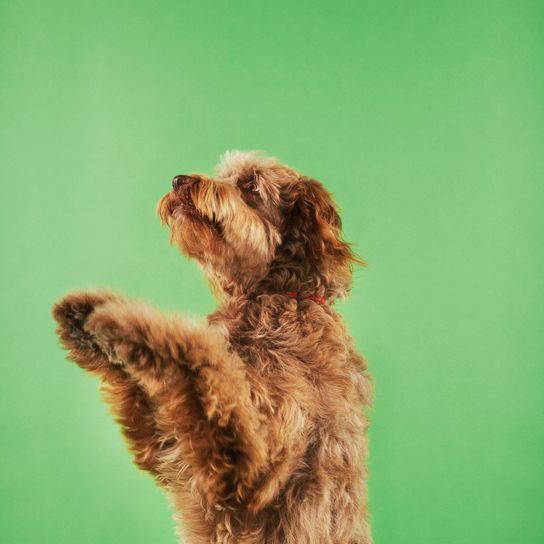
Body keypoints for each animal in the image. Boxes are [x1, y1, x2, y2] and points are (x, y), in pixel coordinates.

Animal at [53, 152, 372, 544]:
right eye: (225, 175)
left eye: (250, 185)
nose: (179, 180)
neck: (275, 297)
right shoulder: (169, 448)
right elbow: (143, 394)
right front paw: (91, 315)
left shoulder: (254, 465)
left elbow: (201, 356)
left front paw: (125, 323)